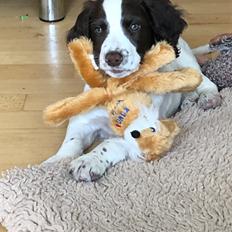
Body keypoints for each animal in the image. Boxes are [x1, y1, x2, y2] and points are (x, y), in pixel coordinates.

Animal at [44, 0, 221, 181]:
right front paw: (55, 162)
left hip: (186, 63)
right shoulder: (83, 122)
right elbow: (71, 142)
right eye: (98, 29)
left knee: (205, 81)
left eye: (135, 26)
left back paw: (208, 98)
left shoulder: (144, 134)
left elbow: (109, 143)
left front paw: (88, 160)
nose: (113, 58)